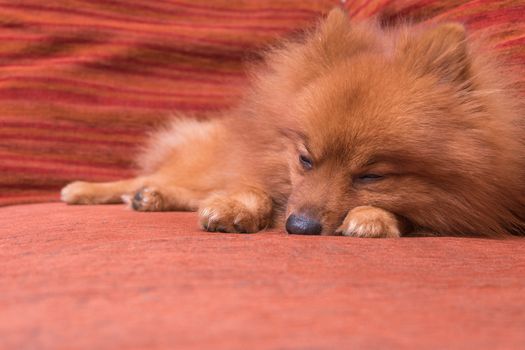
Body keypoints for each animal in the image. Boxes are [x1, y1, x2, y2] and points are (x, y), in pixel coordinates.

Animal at [61, 8, 524, 238]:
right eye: (304, 159)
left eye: (372, 176)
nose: (300, 227)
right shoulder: (257, 166)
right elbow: (251, 189)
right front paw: (236, 208)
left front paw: (374, 218)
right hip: (203, 163)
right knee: (153, 178)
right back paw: (89, 190)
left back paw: (151, 198)